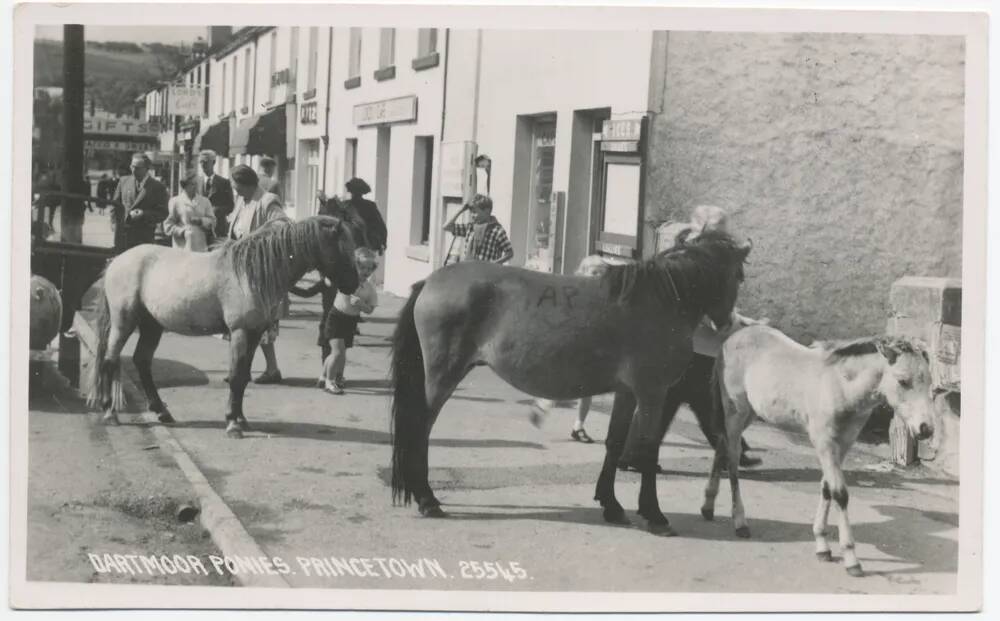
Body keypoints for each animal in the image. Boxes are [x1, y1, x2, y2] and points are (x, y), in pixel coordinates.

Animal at [390, 230, 752, 532]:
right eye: (739, 275)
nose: (728, 322)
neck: (659, 301)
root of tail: (430, 282)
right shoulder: (652, 392)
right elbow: (649, 448)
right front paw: (654, 514)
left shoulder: (627, 392)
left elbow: (615, 443)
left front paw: (611, 504)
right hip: (443, 376)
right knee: (420, 429)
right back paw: (427, 499)